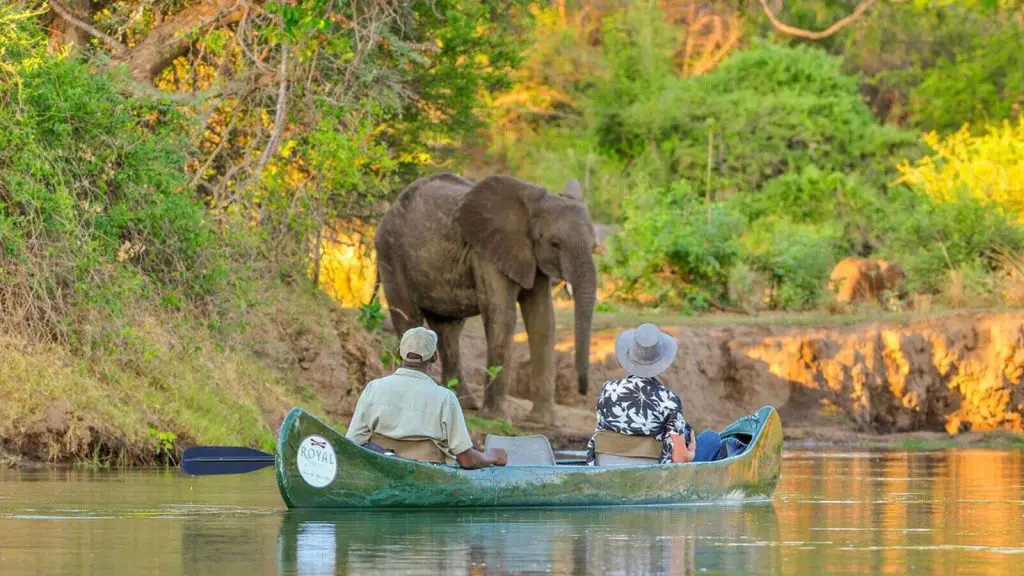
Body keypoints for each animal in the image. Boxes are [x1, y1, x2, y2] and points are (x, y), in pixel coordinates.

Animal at [374, 170, 598, 422]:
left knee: (447, 330)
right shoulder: (486, 252)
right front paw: (497, 418)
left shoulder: (532, 259)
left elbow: (543, 321)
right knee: (409, 318)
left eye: (594, 246)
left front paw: (543, 421)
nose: (582, 390)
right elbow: (502, 315)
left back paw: (464, 403)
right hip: (391, 251)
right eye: (555, 243)